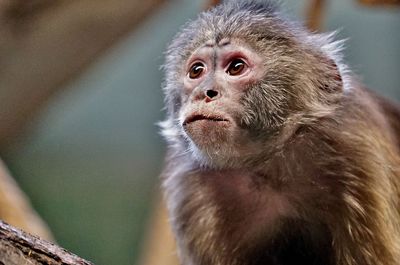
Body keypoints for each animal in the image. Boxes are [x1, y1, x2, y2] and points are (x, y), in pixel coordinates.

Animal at [159, 1, 400, 262]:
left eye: (236, 67)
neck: (269, 164)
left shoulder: (354, 150)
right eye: (196, 71)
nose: (205, 92)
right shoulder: (192, 193)